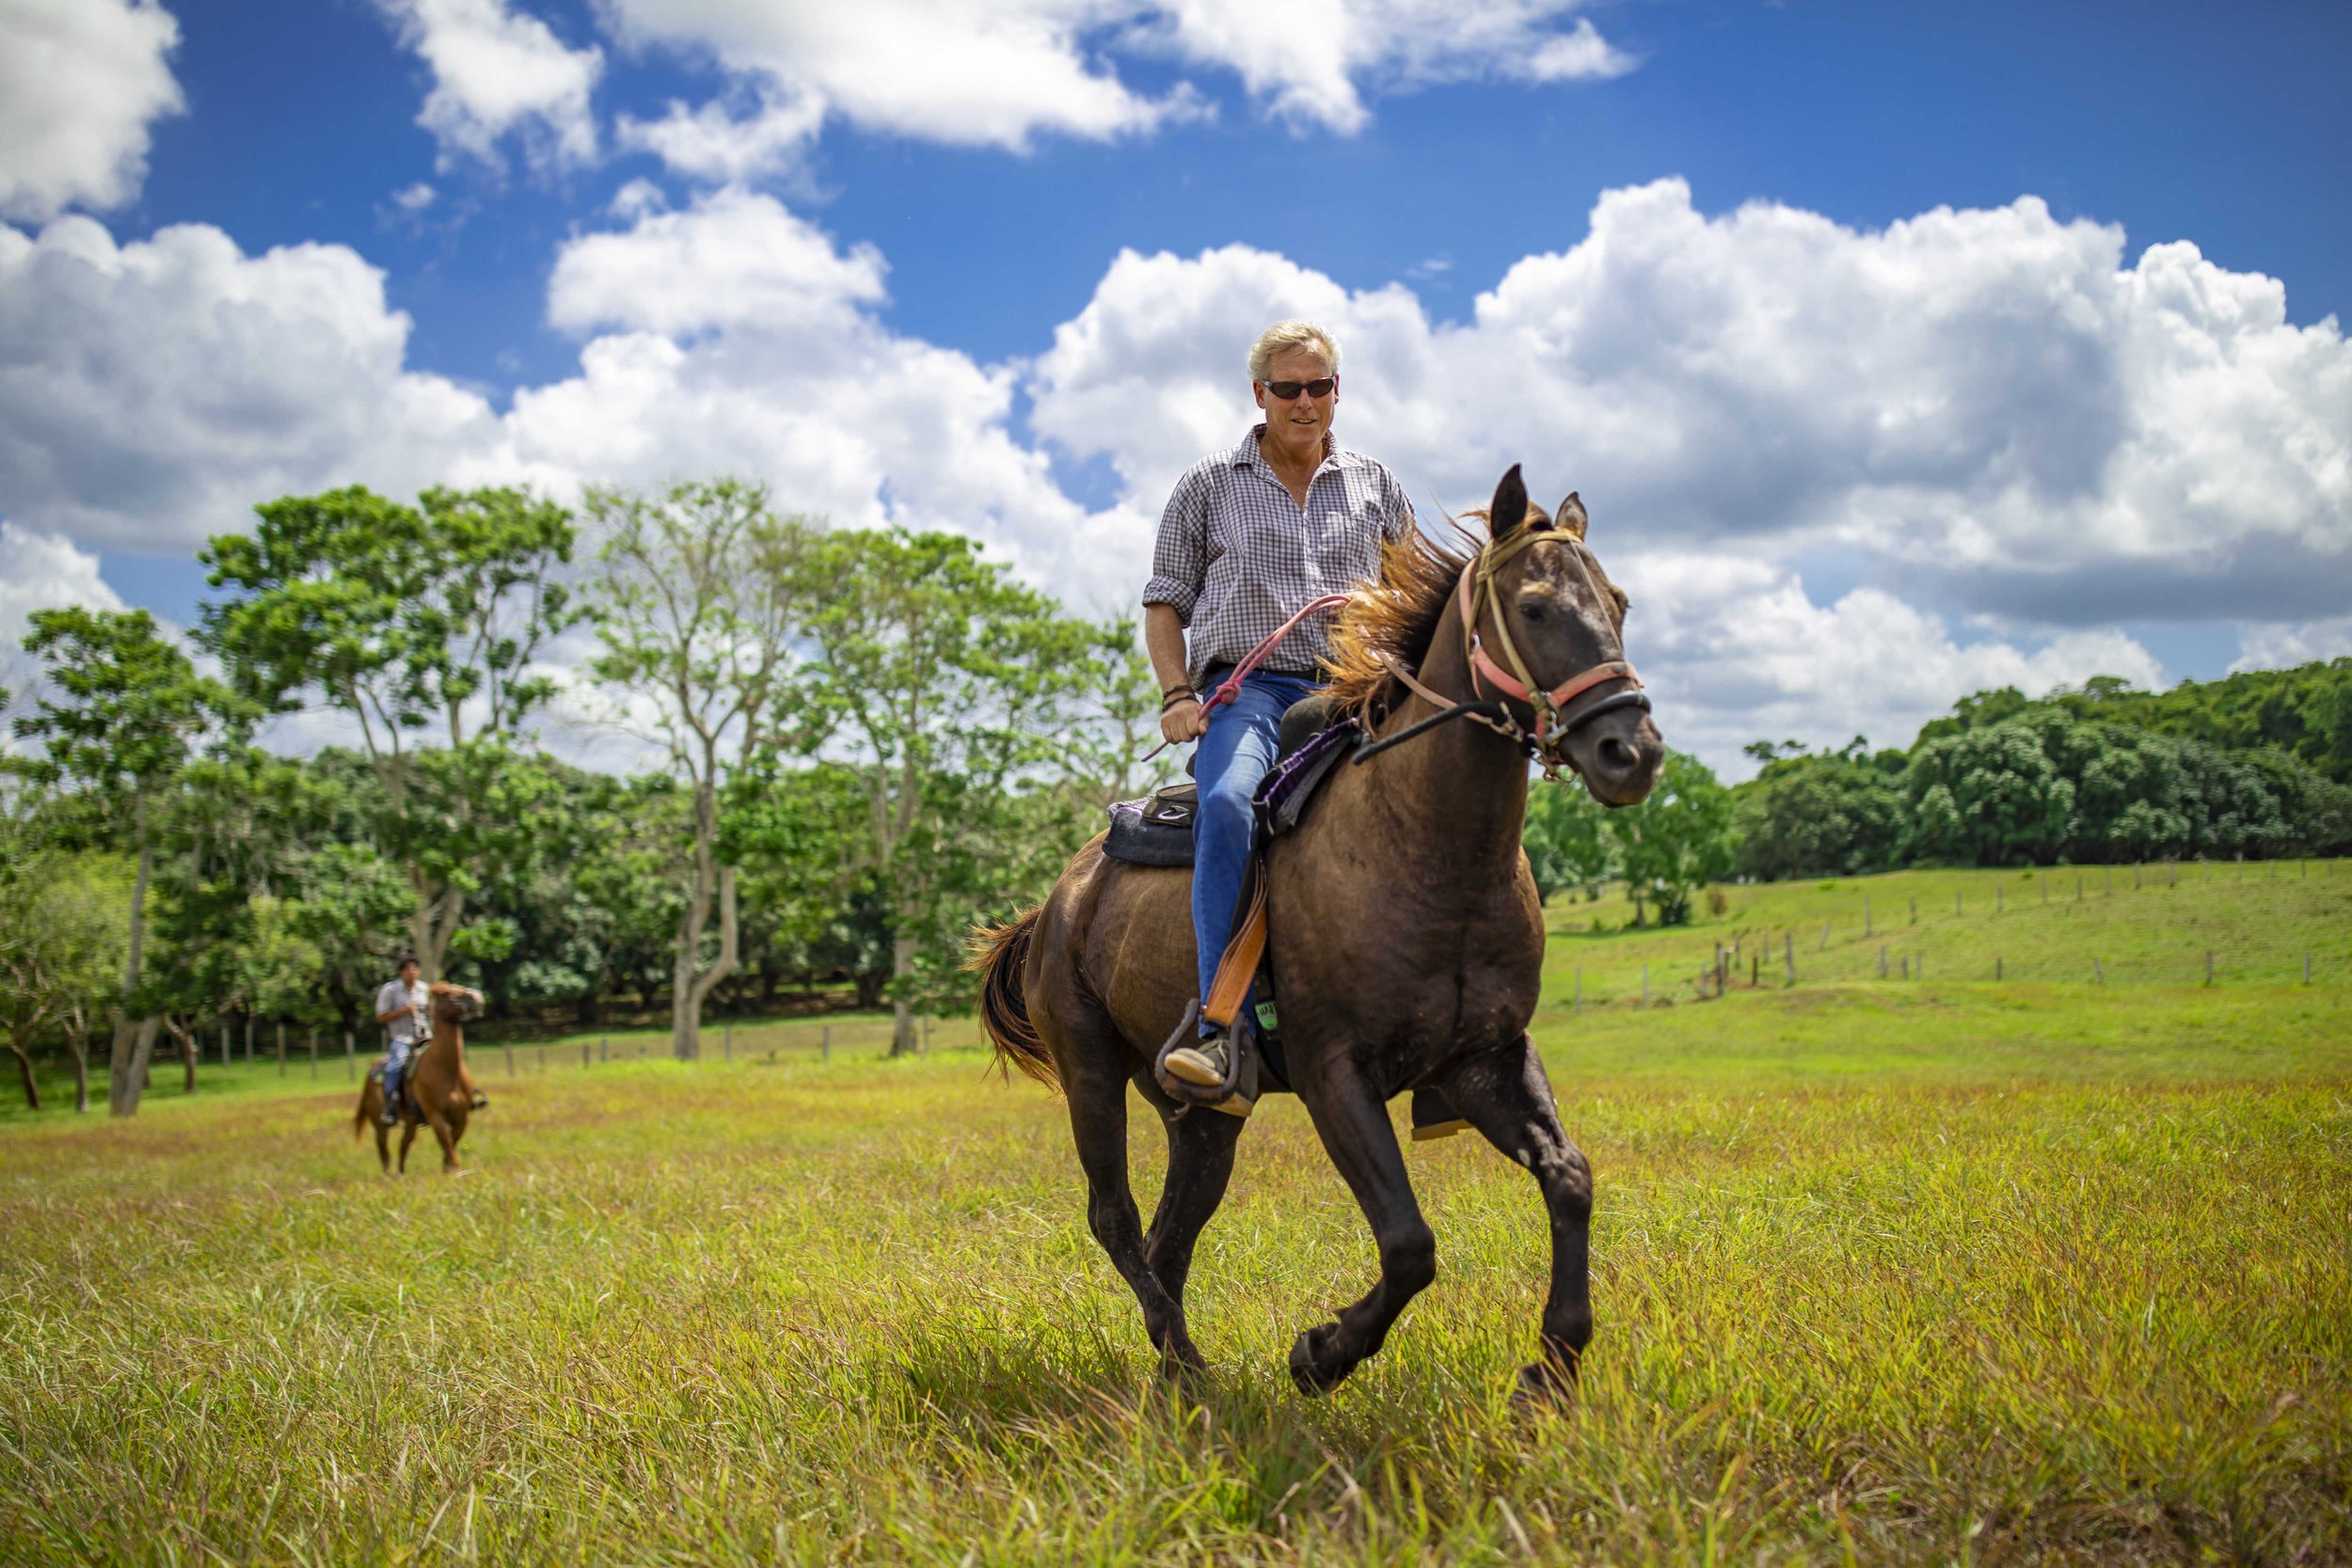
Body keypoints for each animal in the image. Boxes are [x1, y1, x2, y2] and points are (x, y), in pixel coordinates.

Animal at [350, 982, 485, 1175]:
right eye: (445, 993)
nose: (476, 997)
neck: (446, 1070)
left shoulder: (461, 1117)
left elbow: (450, 1148)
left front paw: (449, 1172)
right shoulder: (435, 1116)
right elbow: (448, 1148)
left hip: (410, 1123)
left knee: (403, 1146)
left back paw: (400, 1175)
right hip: (379, 1123)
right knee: (384, 1151)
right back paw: (388, 1176)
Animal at [974, 465, 1675, 1401]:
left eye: (1620, 603)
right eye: (1533, 608)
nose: (1630, 750)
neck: (1425, 848)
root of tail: (1055, 903)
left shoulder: (1486, 1058)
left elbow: (1569, 1177)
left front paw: (1552, 1365)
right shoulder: (1333, 1072)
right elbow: (1410, 1243)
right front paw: (1321, 1353)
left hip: (1204, 1120)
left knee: (1168, 1237)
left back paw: (1182, 1373)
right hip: (1090, 1071)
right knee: (1116, 1220)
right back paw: (1188, 1368)